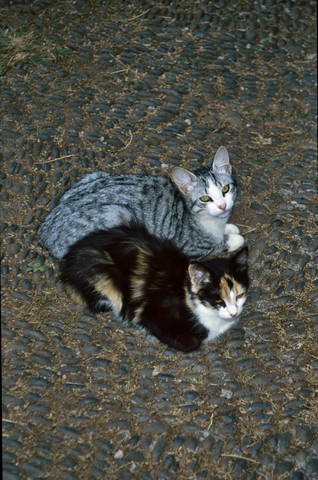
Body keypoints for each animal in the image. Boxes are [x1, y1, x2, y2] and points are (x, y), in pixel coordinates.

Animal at [39, 146, 243, 260]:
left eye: (225, 189)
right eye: (205, 198)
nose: (222, 206)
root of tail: (45, 232)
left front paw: (229, 228)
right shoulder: (188, 247)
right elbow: (216, 245)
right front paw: (233, 239)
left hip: (94, 176)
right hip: (117, 214)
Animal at [59, 222, 248, 352]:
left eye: (239, 295)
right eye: (218, 300)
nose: (234, 313)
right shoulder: (151, 312)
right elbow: (190, 343)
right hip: (105, 278)